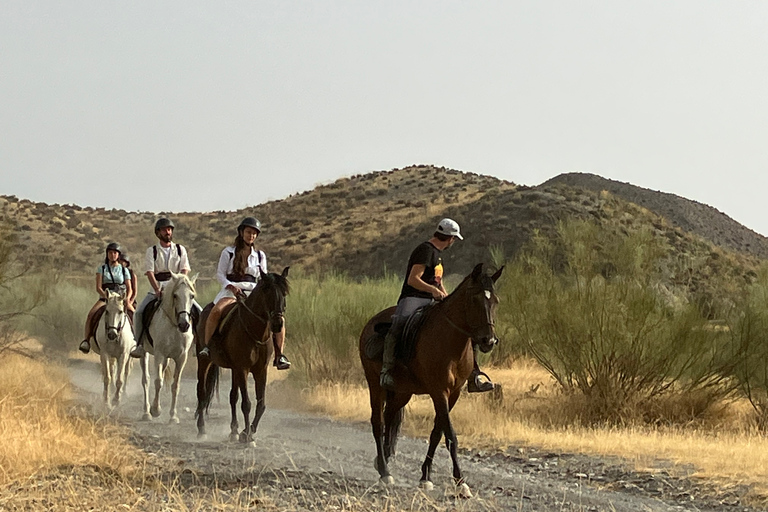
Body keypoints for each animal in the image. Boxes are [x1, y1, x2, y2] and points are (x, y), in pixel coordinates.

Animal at [138, 274, 198, 422]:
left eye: (192, 296)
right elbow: (158, 381)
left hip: (167, 358)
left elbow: (175, 385)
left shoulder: (181, 357)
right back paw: (146, 412)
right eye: (175, 295)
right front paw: (155, 410)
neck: (174, 325)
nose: (184, 325)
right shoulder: (159, 354)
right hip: (144, 353)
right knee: (146, 380)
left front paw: (173, 416)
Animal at [195, 268, 292, 444]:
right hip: (204, 361)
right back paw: (202, 429)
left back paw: (233, 431)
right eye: (266, 290)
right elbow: (246, 403)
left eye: (284, 292)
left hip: (234, 369)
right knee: (202, 391)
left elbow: (261, 404)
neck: (255, 332)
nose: (277, 324)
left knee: (232, 396)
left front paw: (248, 432)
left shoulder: (260, 370)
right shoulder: (243, 368)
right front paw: (246, 435)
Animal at [360, 264, 504, 496]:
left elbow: (437, 433)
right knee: (378, 422)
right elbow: (451, 435)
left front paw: (425, 476)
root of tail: (369, 324)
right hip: (374, 384)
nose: (488, 341)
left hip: (403, 391)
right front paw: (460, 482)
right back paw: (384, 472)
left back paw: (386, 460)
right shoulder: (439, 391)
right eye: (474, 299)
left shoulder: (453, 393)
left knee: (390, 417)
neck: (450, 341)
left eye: (495, 301)